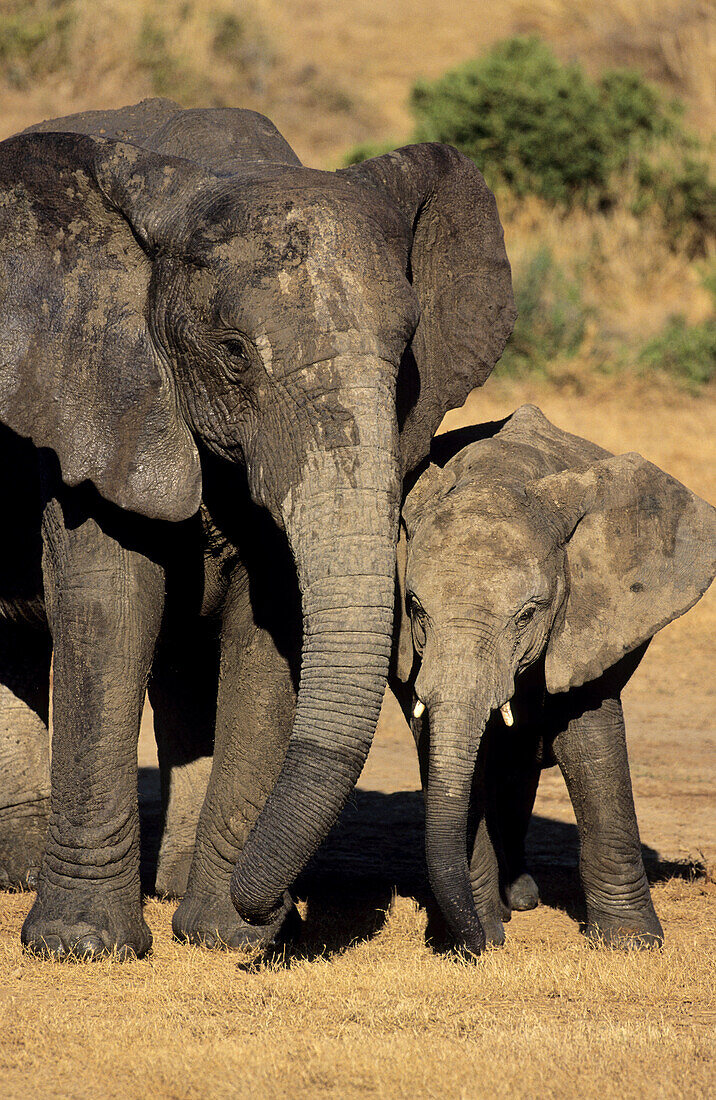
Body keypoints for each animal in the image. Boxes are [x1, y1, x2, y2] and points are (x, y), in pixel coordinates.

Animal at [0, 103, 514, 959]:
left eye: (404, 359)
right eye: (235, 354)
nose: (270, 906)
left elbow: (272, 622)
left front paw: (226, 937)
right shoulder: (92, 400)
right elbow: (109, 612)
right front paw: (80, 946)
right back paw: (22, 876)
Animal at [391, 404, 716, 954]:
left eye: (528, 615)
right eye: (415, 608)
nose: (475, 944)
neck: (498, 475)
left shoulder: (588, 619)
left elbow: (592, 745)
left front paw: (631, 945)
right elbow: (441, 748)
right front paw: (477, 937)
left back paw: (521, 898)